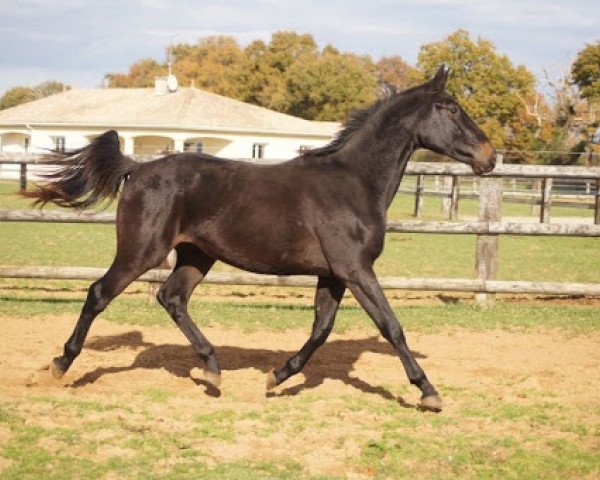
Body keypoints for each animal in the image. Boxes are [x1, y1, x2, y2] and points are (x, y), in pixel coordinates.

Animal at [24, 65, 492, 410]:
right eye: (450, 107)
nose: (488, 156)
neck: (354, 183)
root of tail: (136, 168)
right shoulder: (356, 270)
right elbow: (391, 326)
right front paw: (429, 392)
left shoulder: (334, 274)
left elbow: (322, 329)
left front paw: (277, 377)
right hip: (142, 251)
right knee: (99, 293)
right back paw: (61, 364)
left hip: (196, 255)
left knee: (172, 298)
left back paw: (213, 370)